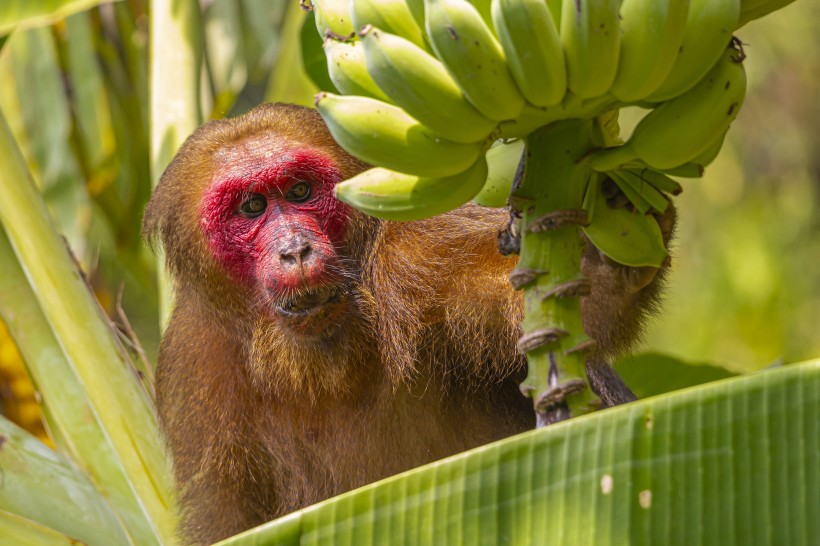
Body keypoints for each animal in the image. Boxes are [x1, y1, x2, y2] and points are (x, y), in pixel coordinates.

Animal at [144, 101, 676, 540]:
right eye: (251, 207)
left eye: (299, 191)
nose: (295, 250)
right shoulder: (194, 368)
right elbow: (229, 521)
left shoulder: (421, 253)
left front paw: (608, 262)